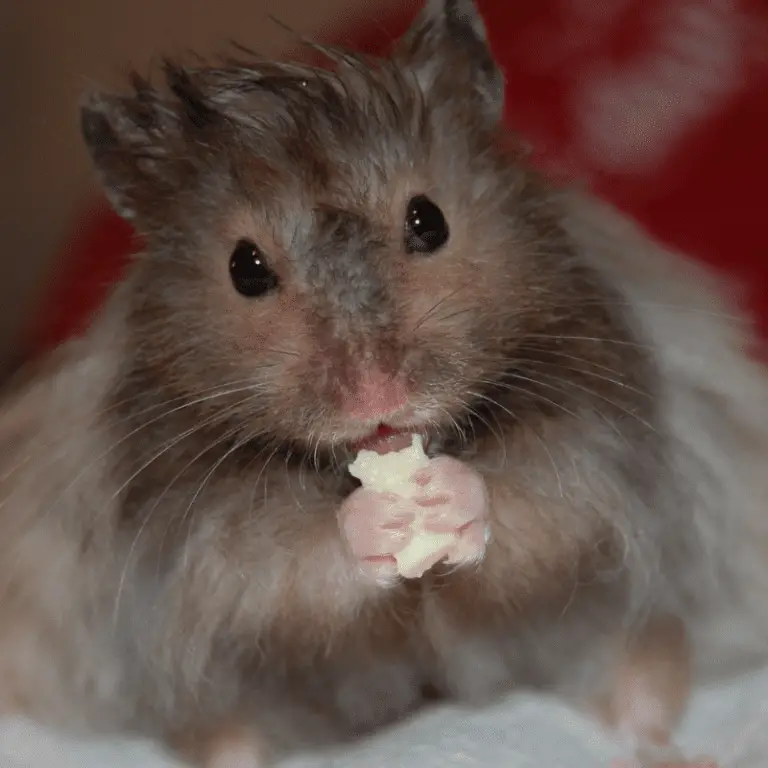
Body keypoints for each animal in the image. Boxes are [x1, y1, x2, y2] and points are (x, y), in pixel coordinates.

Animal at [2, 1, 768, 766]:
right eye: (245, 268)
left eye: (428, 220)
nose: (379, 398)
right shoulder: (187, 535)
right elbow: (282, 560)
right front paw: (385, 518)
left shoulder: (604, 440)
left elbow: (541, 505)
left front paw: (445, 496)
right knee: (227, 740)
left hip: (635, 626)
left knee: (642, 683)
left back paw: (677, 752)